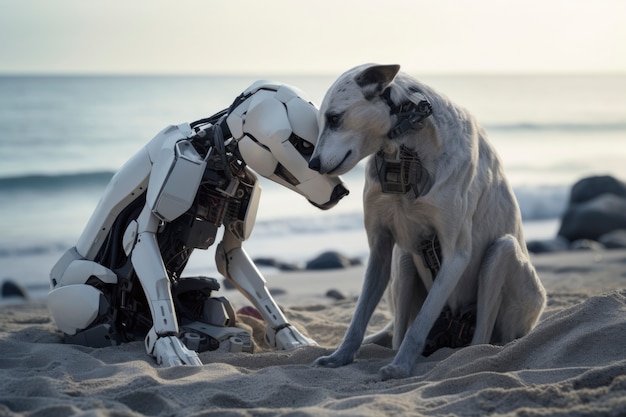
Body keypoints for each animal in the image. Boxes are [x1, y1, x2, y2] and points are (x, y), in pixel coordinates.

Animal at [308, 63, 544, 378]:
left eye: (334, 118)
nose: (312, 164)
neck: (405, 155)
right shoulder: (380, 249)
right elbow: (358, 318)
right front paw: (340, 357)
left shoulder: (456, 255)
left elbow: (420, 323)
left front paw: (401, 366)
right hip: (403, 260)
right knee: (397, 332)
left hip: (502, 256)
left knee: (479, 340)